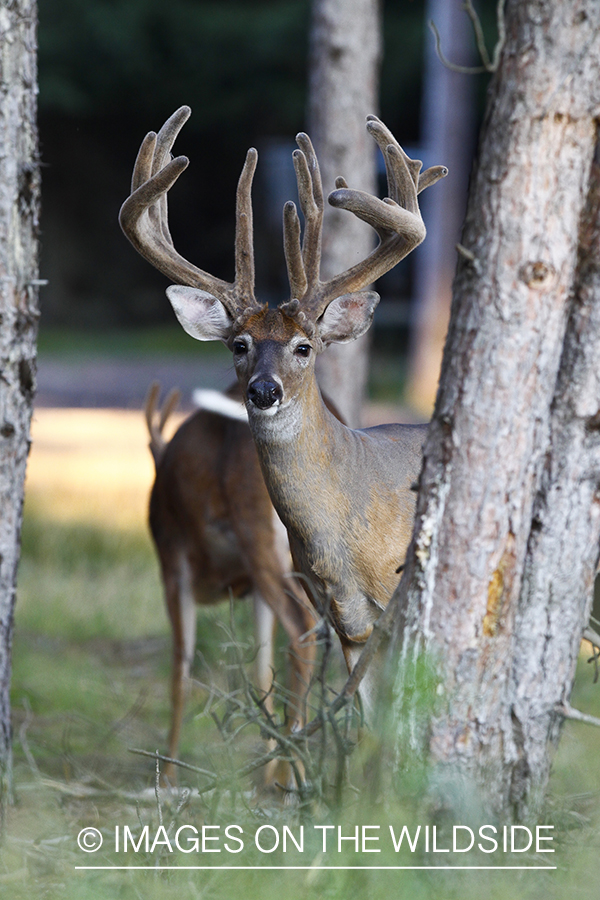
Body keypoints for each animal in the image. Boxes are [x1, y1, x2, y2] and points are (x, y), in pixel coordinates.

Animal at [145, 380, 316, 788]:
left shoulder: (173, 565)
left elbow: (181, 673)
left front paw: (168, 776)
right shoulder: (251, 589)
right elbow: (261, 672)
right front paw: (264, 769)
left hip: (257, 534)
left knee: (303, 627)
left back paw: (292, 776)